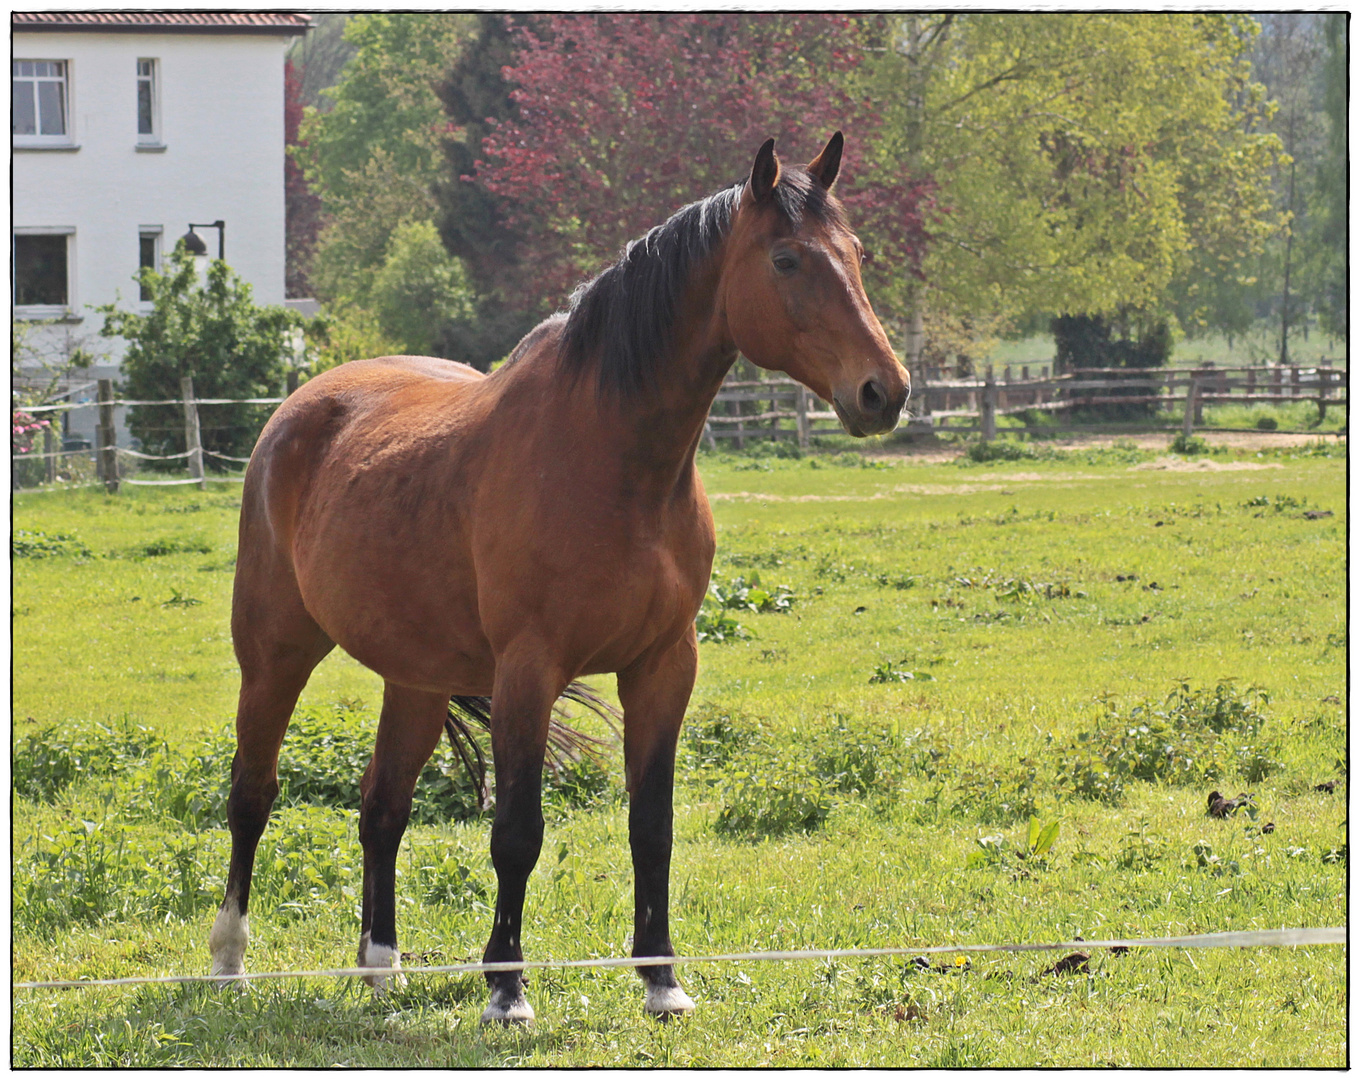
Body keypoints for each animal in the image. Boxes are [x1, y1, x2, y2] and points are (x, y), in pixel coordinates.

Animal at [212, 132, 908, 1017]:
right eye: (787, 260)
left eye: (856, 255)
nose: (884, 391)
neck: (612, 459)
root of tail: (300, 409)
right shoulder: (528, 670)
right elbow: (517, 832)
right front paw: (507, 989)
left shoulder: (663, 666)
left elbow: (652, 826)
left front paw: (661, 980)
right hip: (275, 654)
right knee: (252, 794)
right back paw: (229, 961)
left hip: (416, 678)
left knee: (382, 808)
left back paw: (380, 964)